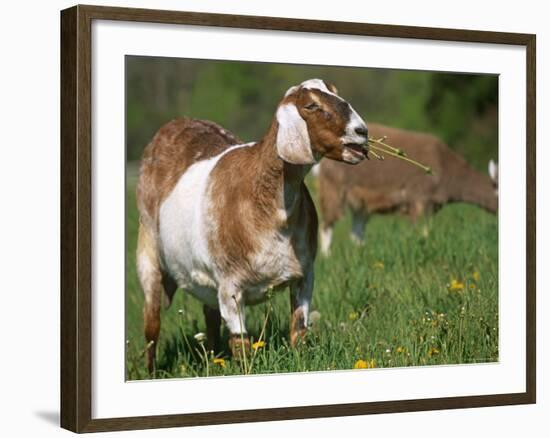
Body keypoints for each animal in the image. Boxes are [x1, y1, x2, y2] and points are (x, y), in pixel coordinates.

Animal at [137, 79, 370, 372]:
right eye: (311, 105)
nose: (361, 131)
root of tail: (175, 122)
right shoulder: (230, 287)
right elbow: (242, 345)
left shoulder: (305, 274)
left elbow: (299, 331)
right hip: (148, 255)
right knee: (151, 326)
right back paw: (151, 371)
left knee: (210, 319)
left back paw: (214, 359)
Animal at [316, 121, 498, 255]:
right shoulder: (419, 198)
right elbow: (420, 231)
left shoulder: (431, 206)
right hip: (332, 187)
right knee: (327, 223)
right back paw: (327, 257)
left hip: (359, 202)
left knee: (357, 230)